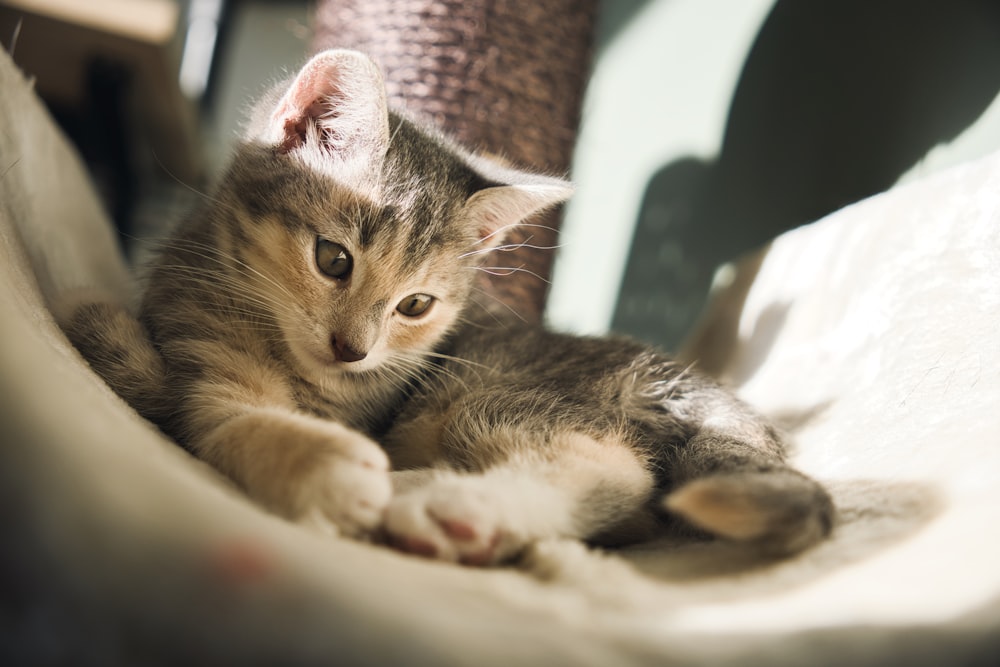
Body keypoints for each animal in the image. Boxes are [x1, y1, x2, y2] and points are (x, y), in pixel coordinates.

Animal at [62, 49, 576, 536]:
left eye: (415, 305)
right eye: (333, 259)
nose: (352, 350)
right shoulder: (199, 358)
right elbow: (226, 418)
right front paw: (322, 461)